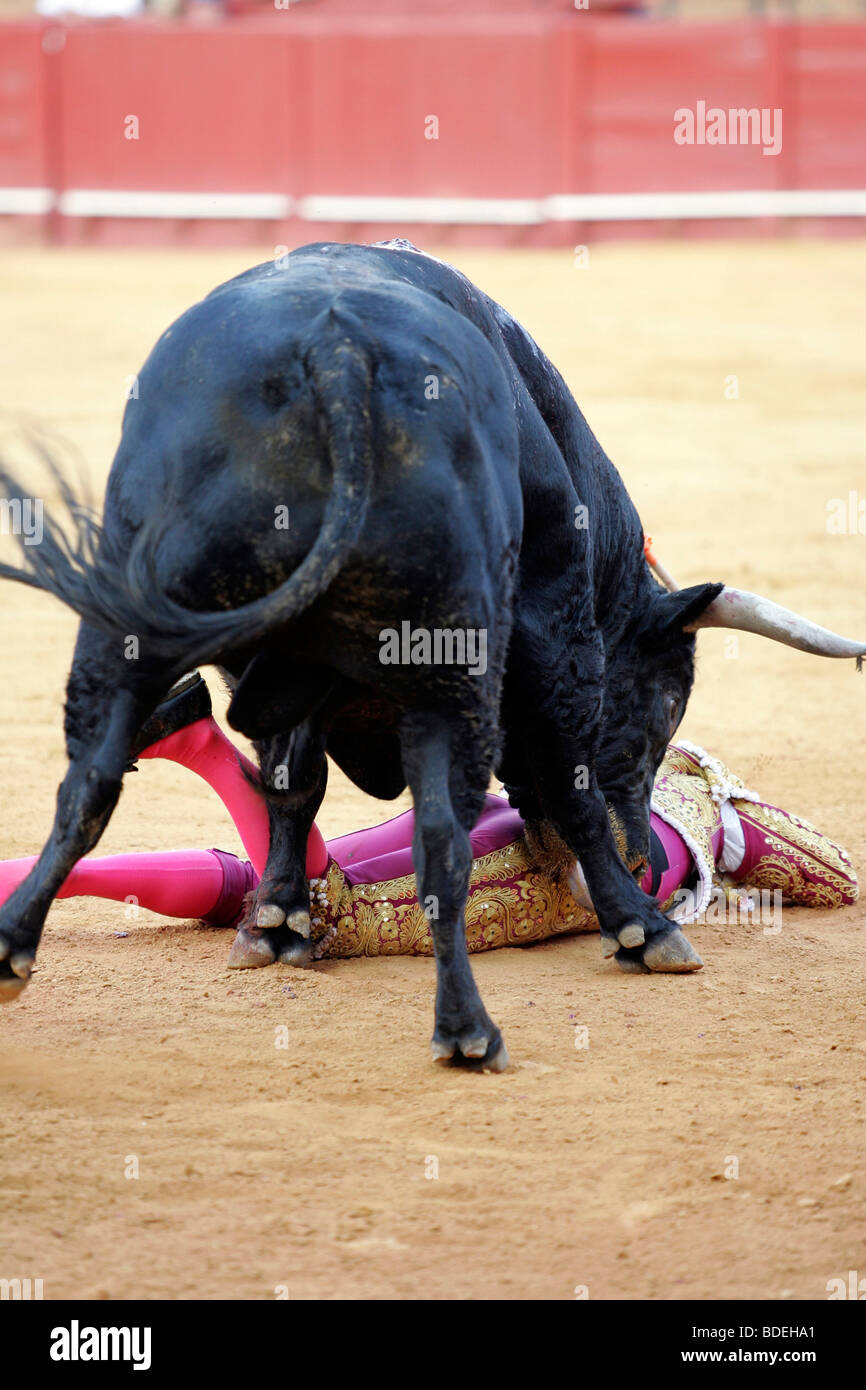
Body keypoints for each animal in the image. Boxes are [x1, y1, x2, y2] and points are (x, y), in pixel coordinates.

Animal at [0, 239, 722, 1067]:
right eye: (669, 703)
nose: (649, 862)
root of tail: (337, 357)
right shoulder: (558, 627)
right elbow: (571, 789)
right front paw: (638, 923)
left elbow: (292, 782)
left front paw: (277, 921)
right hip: (457, 664)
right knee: (443, 834)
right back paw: (469, 1027)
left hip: (127, 618)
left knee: (88, 782)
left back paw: (12, 948)